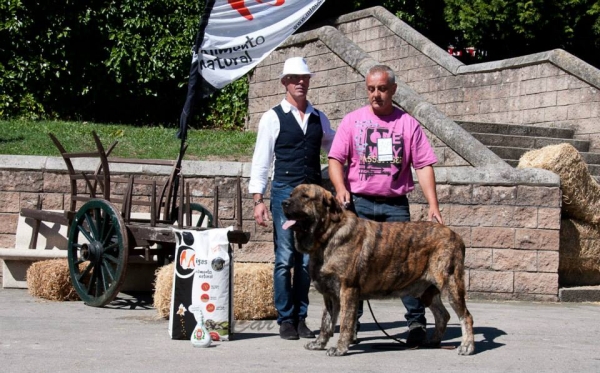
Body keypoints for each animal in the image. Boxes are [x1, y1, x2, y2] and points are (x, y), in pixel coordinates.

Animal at [280, 185, 474, 356]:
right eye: (291, 194)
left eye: (305, 196)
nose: (284, 202)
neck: (328, 235)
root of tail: (456, 235)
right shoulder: (330, 294)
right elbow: (326, 322)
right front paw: (319, 343)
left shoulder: (347, 290)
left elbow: (345, 322)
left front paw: (340, 348)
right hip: (427, 291)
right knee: (443, 315)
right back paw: (433, 341)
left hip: (450, 283)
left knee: (466, 316)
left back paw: (467, 346)